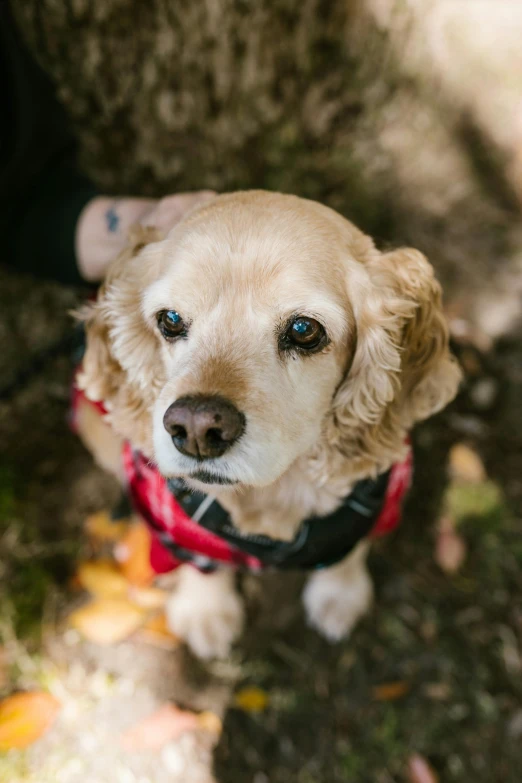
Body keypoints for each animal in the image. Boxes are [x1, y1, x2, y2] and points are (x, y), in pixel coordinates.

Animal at [74, 191, 460, 660]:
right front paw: (205, 611)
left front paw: (340, 595)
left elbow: (348, 551)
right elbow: (201, 564)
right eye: (170, 320)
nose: (197, 428)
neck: (274, 496)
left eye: (304, 329)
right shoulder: (180, 531)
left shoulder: (374, 503)